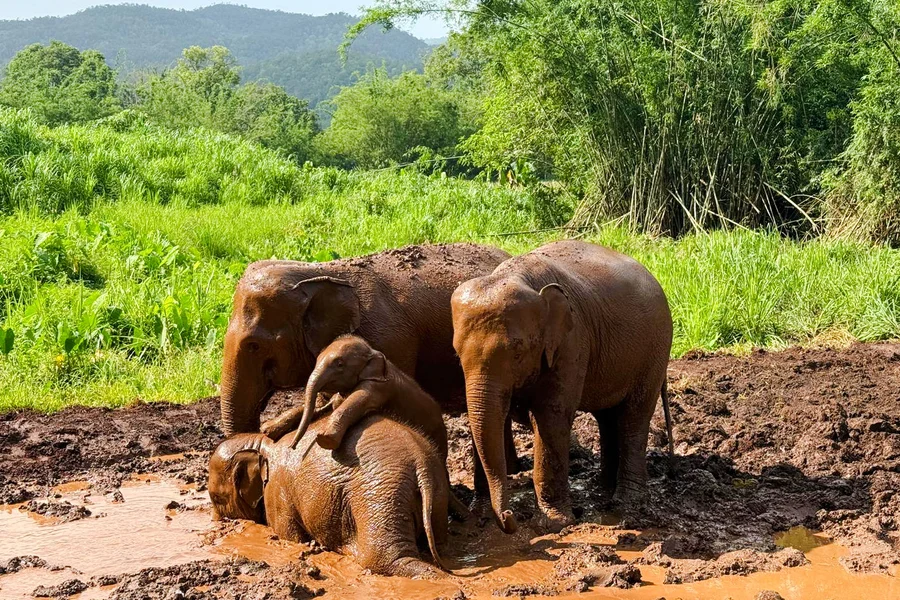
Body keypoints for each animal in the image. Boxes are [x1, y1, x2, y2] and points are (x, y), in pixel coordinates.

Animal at [208, 416, 450, 578]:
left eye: (216, 498)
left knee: (383, 559)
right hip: (436, 493)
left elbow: (291, 537)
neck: (260, 443)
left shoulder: (277, 494)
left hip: (380, 496)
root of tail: (420, 464)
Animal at [450, 240, 674, 534]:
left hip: (655, 351)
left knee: (633, 417)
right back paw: (602, 489)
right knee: (607, 417)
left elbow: (551, 416)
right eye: (456, 353)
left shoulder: (571, 341)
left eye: (518, 351)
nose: (510, 517)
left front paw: (553, 525)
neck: (516, 276)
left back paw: (628, 504)